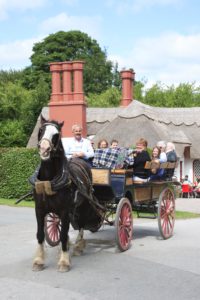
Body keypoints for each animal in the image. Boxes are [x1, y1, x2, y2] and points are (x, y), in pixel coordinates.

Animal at [31, 118, 102, 272]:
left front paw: (64, 261)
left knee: (81, 224)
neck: (50, 179)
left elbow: (63, 234)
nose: (44, 149)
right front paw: (39, 260)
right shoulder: (39, 209)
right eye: (41, 130)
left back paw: (78, 246)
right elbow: (40, 234)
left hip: (83, 205)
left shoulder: (64, 211)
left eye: (57, 134)